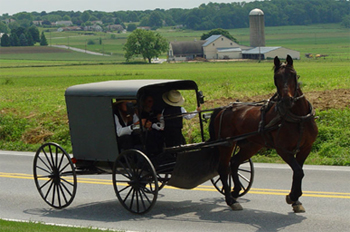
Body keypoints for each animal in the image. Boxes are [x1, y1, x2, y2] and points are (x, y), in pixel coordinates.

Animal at [209, 55, 318, 212]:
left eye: (293, 74)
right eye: (276, 77)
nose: (287, 100)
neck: (298, 118)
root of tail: (223, 109)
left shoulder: (306, 148)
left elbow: (298, 172)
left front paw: (296, 200)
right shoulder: (283, 150)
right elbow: (298, 171)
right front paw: (292, 197)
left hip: (250, 145)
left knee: (234, 162)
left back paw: (236, 191)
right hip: (226, 144)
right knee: (224, 168)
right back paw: (231, 200)